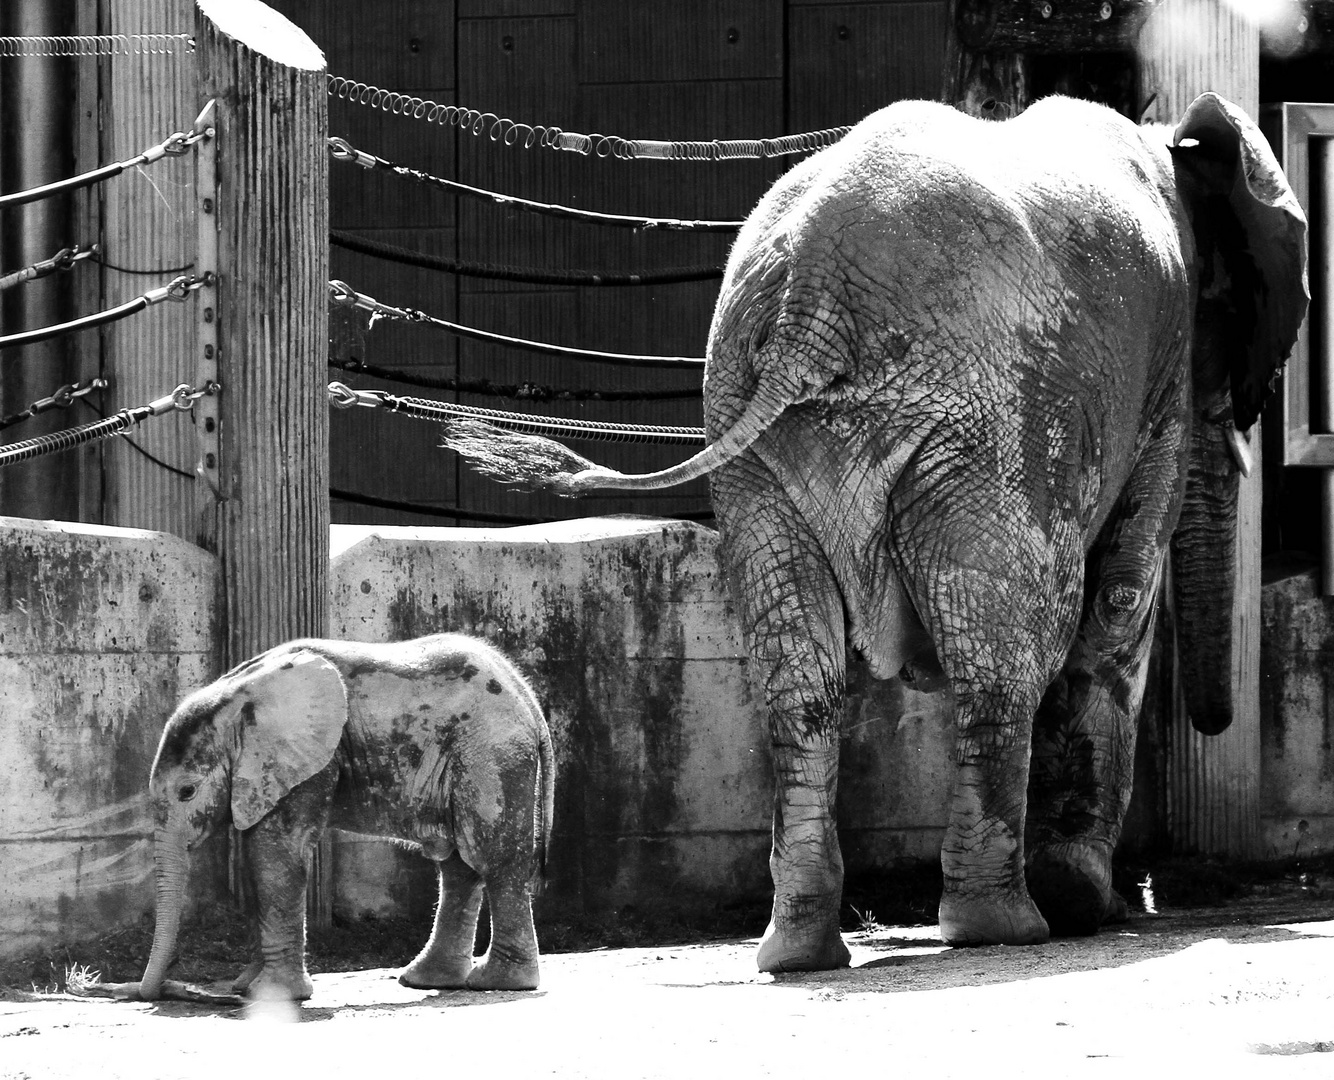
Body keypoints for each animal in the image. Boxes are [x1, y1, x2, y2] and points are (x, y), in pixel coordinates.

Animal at [135, 632, 552, 1002]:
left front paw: (269, 995)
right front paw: (247, 987)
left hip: (492, 754)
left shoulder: (312, 758)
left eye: (187, 792)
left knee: (492, 858)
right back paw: (426, 980)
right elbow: (260, 853)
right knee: (457, 867)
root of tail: (528, 698)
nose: (173, 988)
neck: (236, 692)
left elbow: (277, 849)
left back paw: (498, 982)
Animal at [445, 92, 1301, 965]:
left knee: (801, 675)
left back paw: (800, 952)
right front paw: (1093, 903)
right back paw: (1003, 927)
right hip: (987, 419)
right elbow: (1122, 597)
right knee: (1007, 646)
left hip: (757, 429)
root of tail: (811, 303)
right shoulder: (1160, 372)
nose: (1217, 723)